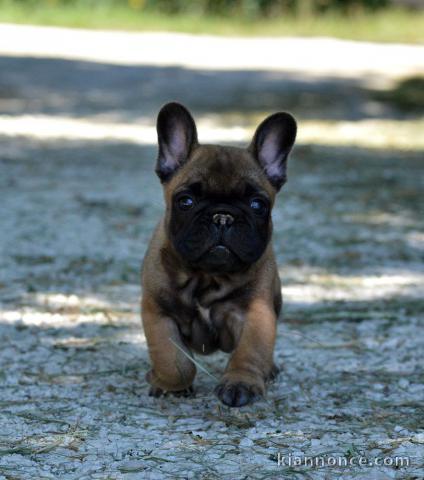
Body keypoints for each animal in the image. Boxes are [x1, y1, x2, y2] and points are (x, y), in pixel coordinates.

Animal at [141, 103, 296, 406]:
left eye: (257, 204)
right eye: (186, 201)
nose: (222, 216)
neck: (207, 276)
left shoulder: (255, 313)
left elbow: (250, 351)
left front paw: (241, 383)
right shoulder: (158, 312)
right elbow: (173, 360)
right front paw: (170, 384)